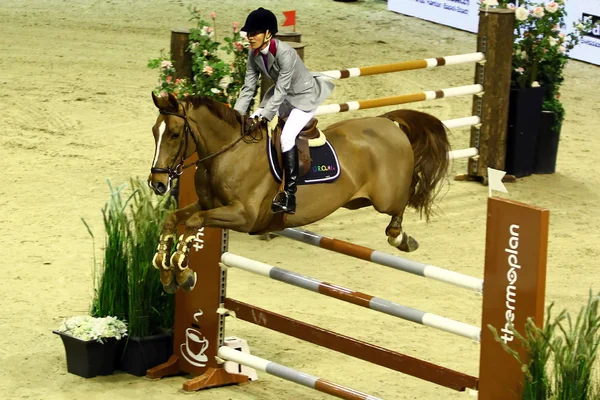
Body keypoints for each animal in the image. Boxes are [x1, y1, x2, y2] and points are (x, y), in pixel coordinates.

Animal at [149, 92, 450, 292]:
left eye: (175, 133)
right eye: (154, 131)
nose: (157, 183)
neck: (229, 153)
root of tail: (387, 122)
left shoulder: (243, 217)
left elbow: (192, 223)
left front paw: (182, 271)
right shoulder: (207, 204)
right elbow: (175, 219)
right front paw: (166, 271)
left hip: (384, 199)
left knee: (404, 201)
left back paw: (402, 238)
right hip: (357, 201)